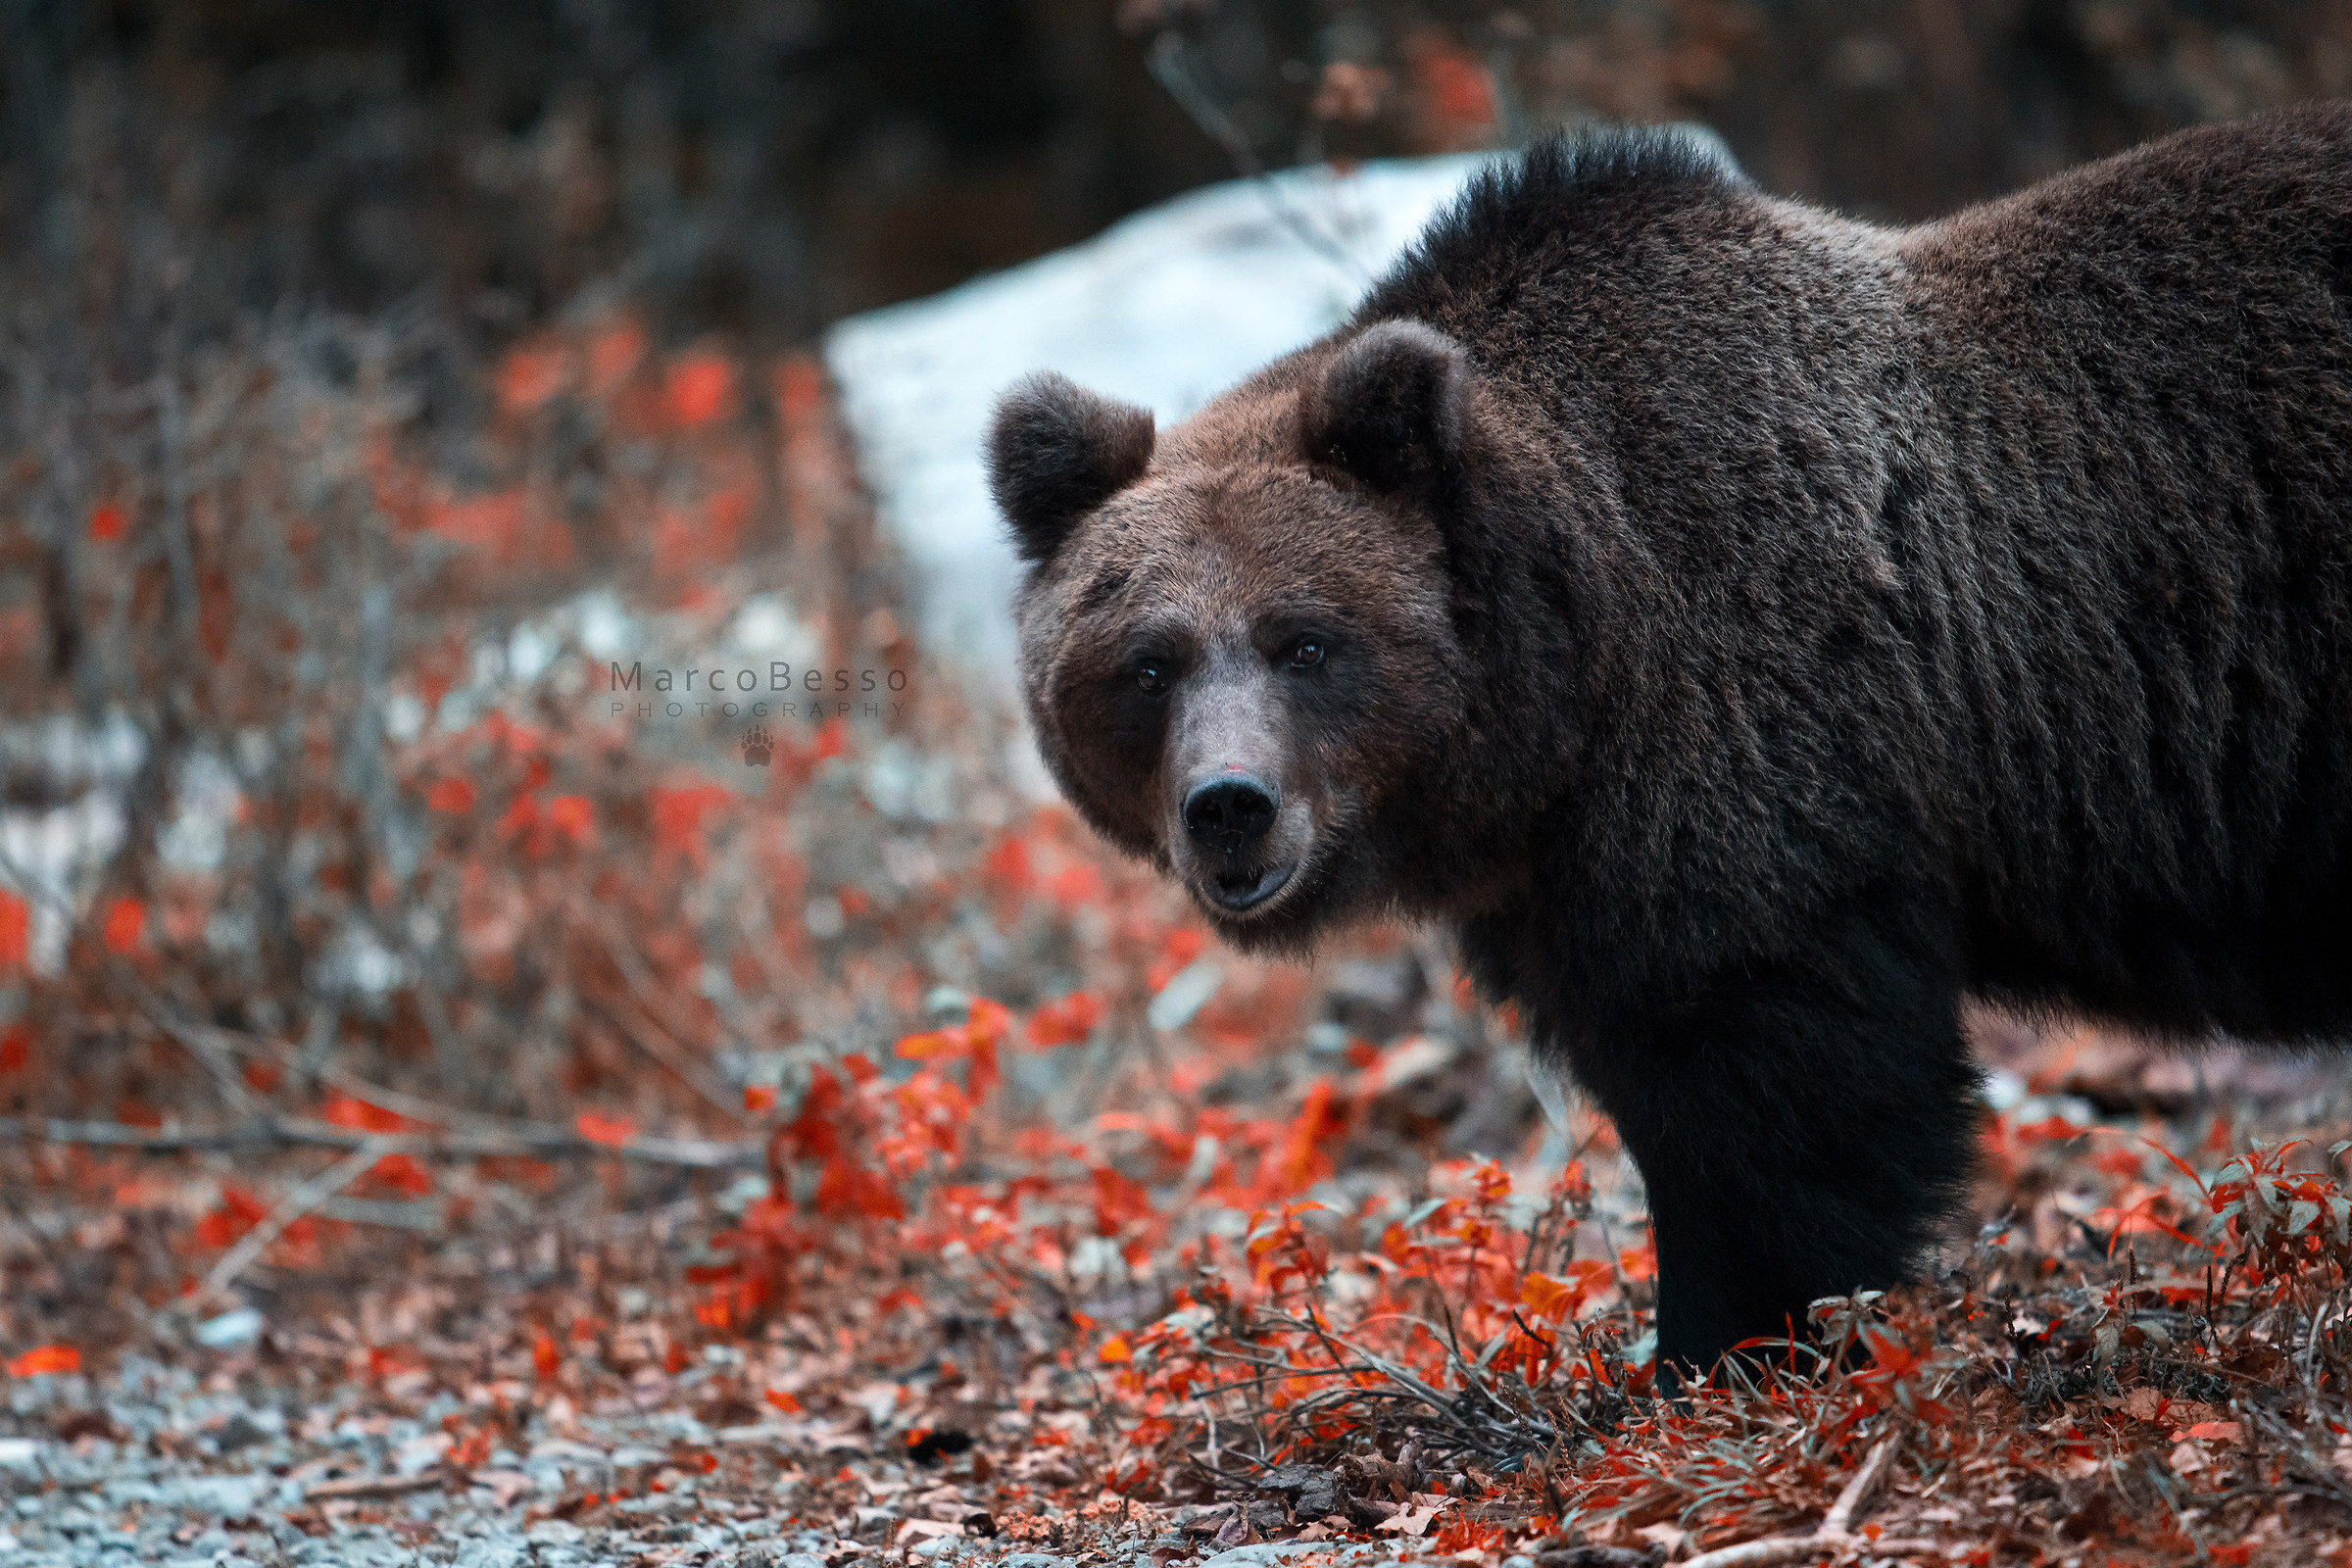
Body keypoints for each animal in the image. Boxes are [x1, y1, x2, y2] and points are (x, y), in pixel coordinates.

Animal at [986, 103, 2352, 1379]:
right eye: (1148, 661)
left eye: (1305, 640)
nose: (1230, 803)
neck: (1566, 685)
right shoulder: (1563, 874)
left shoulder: (1755, 762)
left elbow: (1781, 1094)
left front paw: (1721, 1349)